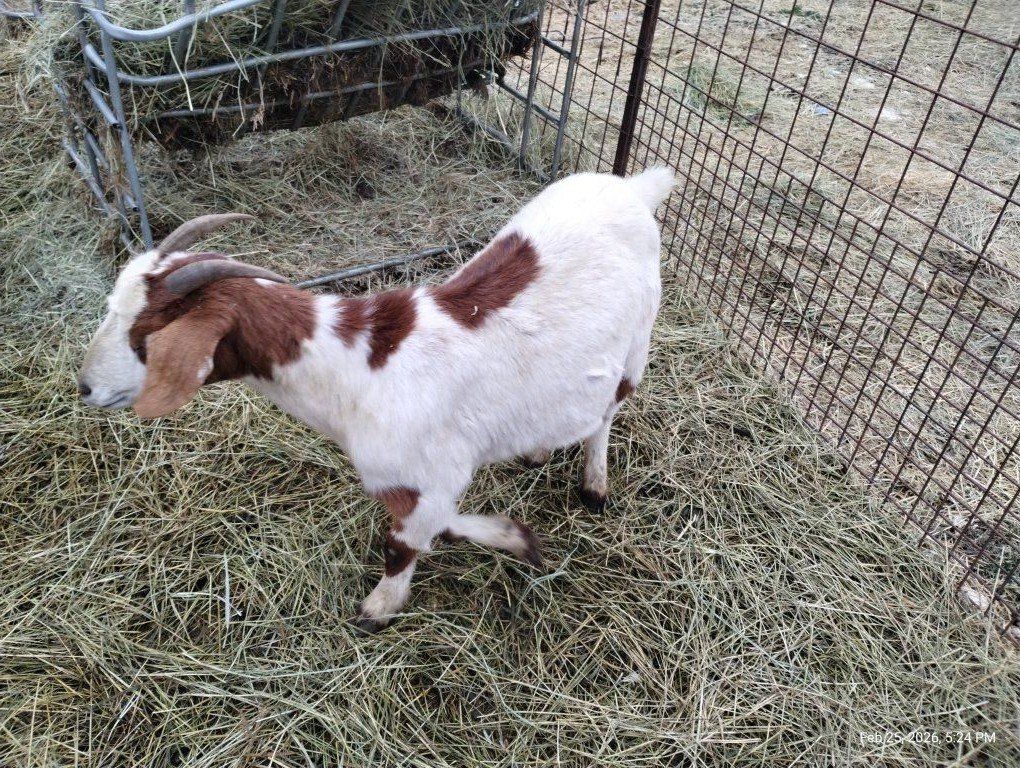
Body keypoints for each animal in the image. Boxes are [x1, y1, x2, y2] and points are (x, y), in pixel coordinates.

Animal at [78, 167, 675, 630]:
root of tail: (635, 187)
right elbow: (439, 523)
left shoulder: (431, 472)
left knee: (608, 410)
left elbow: (404, 542)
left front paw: (379, 608)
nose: (85, 387)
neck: (355, 369)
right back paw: (537, 451)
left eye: (144, 338)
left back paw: (594, 483)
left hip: (637, 343)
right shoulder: (421, 481)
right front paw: (512, 536)